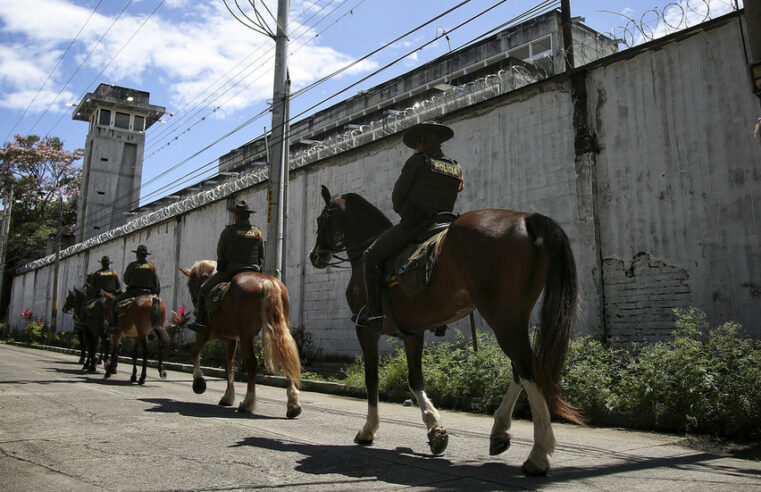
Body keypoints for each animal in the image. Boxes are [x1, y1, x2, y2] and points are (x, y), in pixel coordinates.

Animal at [180, 260, 302, 418]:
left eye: (192, 285)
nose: (195, 305)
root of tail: (267, 281)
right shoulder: (231, 339)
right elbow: (229, 365)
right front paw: (228, 396)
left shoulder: (205, 333)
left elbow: (195, 354)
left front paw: (199, 383)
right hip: (280, 329)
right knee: (286, 357)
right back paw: (293, 405)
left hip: (246, 335)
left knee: (251, 363)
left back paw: (248, 402)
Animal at [306, 185, 580, 476]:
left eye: (321, 218)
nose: (315, 256)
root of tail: (527, 218)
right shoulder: (412, 333)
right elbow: (415, 380)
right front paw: (434, 429)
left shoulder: (366, 330)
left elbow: (372, 380)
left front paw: (368, 430)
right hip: (514, 317)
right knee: (520, 370)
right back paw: (500, 431)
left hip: (502, 318)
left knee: (528, 368)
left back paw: (538, 453)